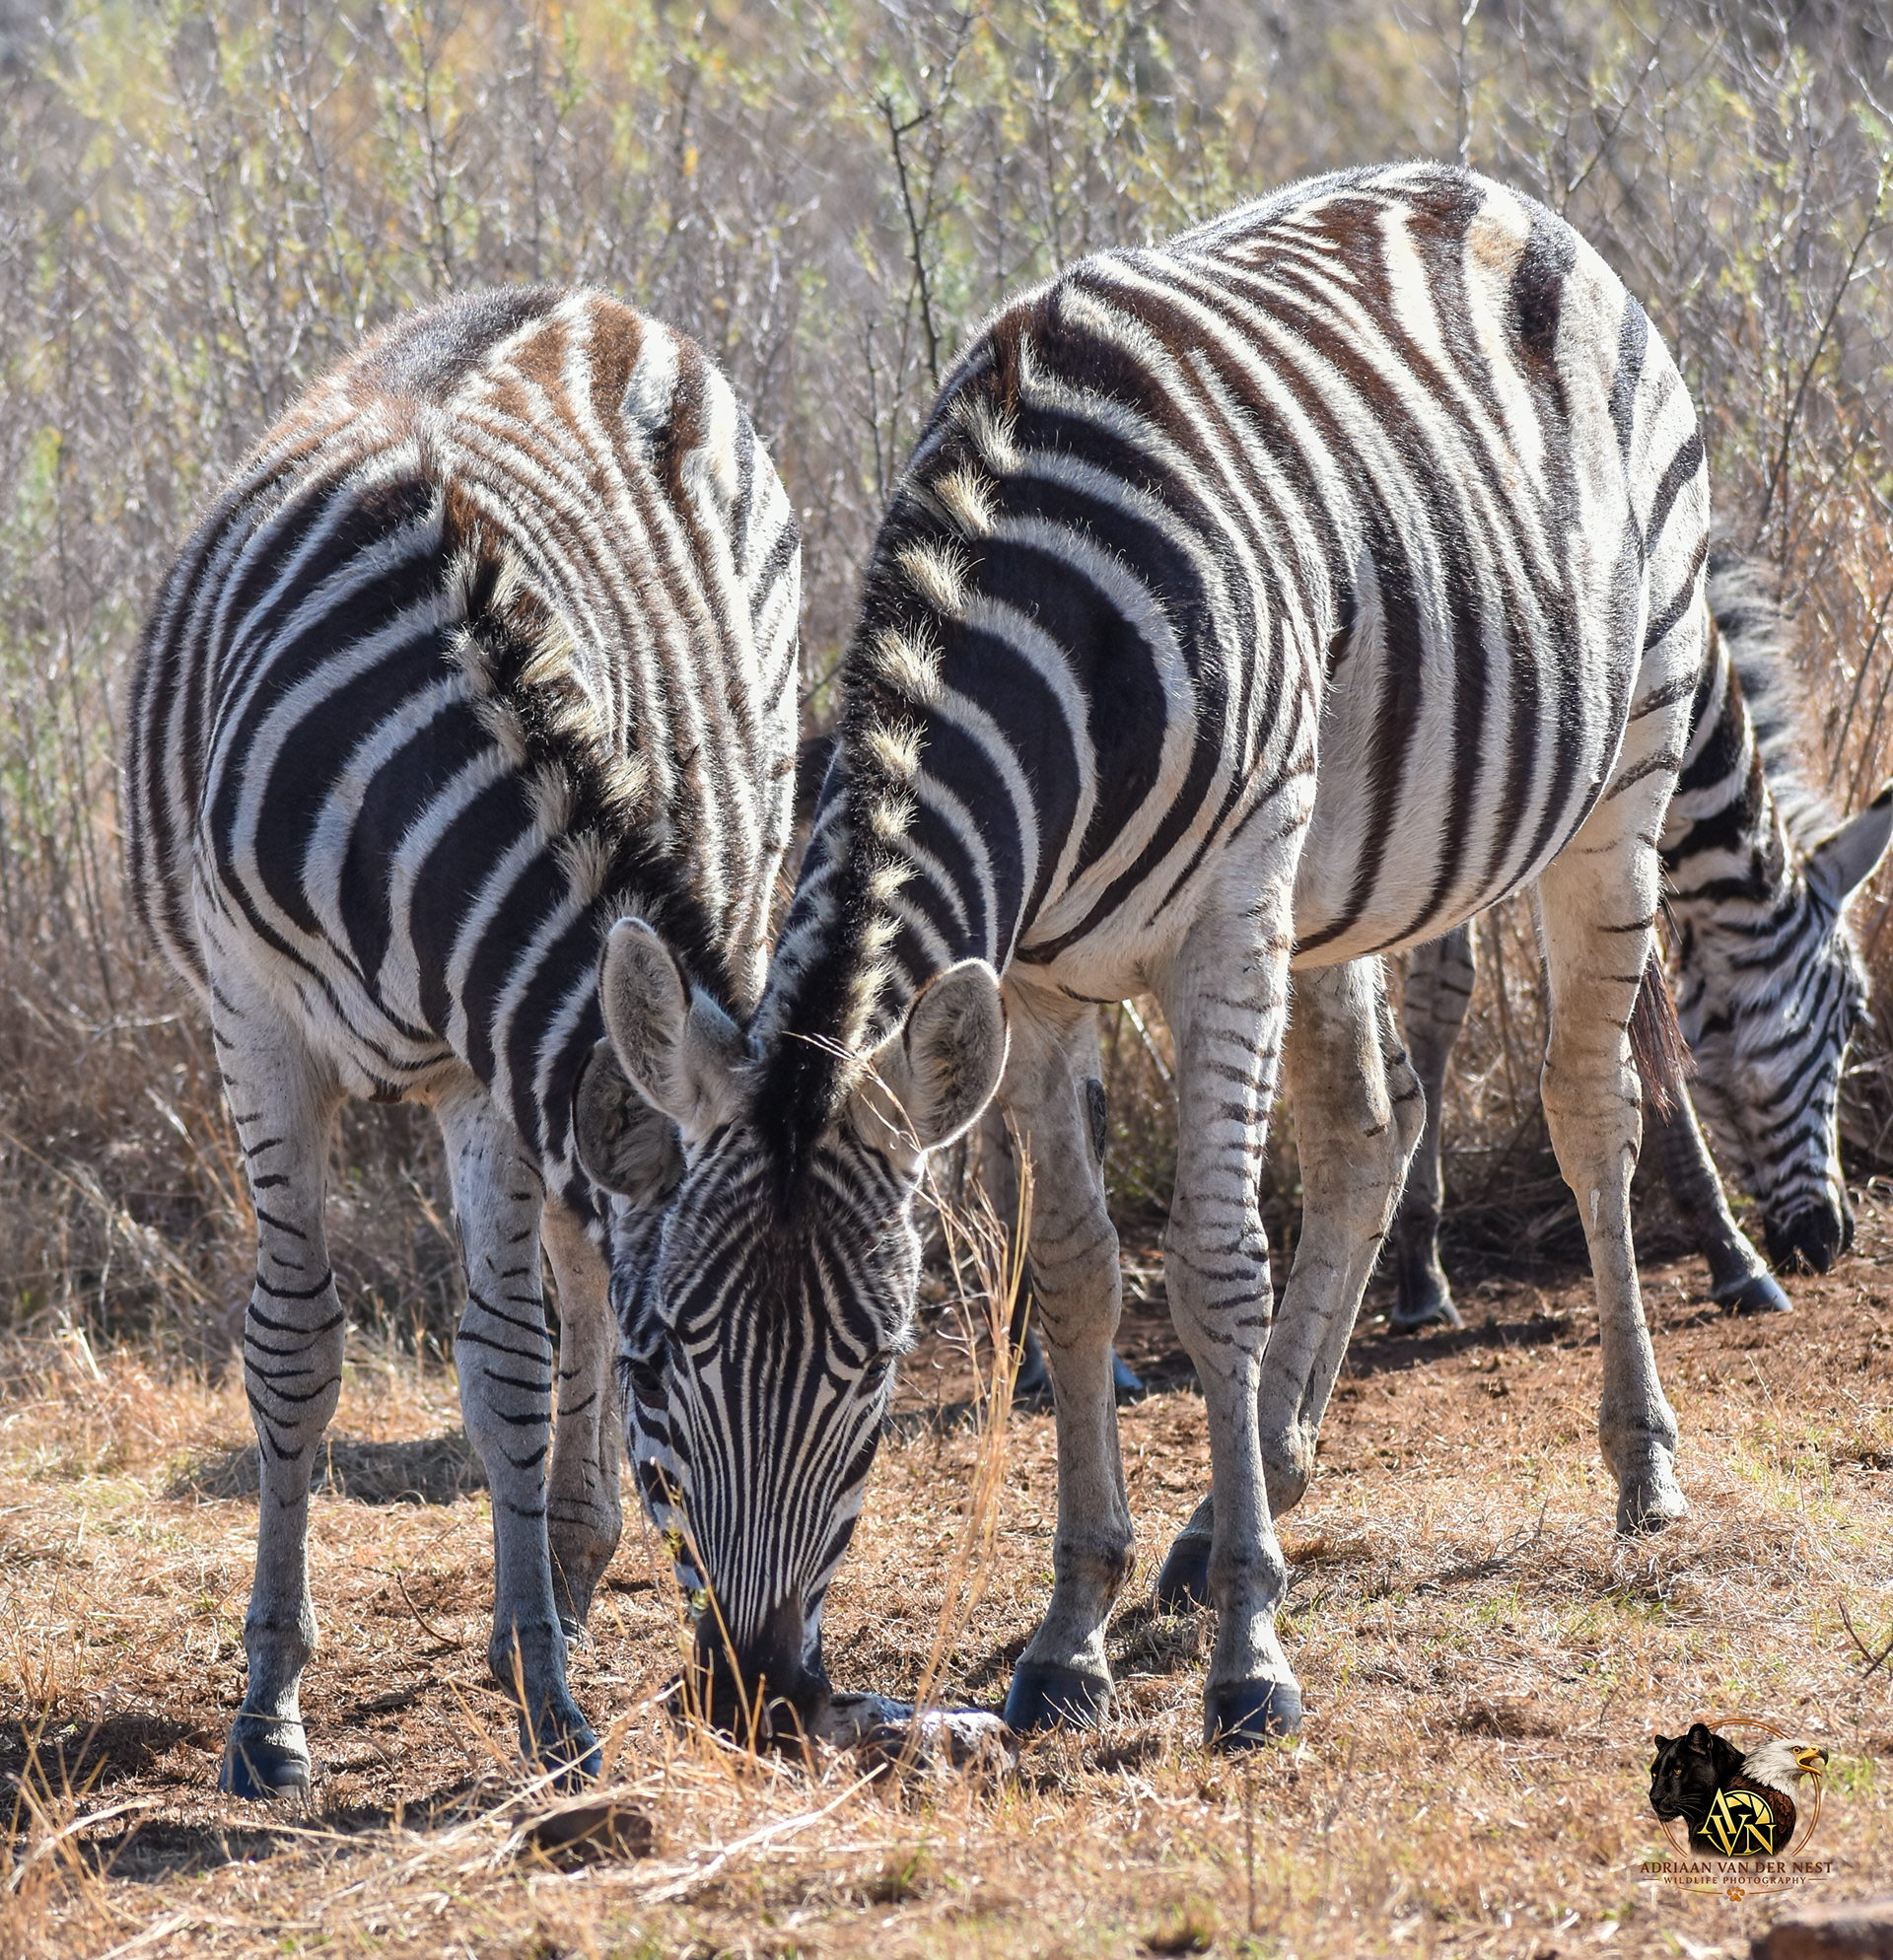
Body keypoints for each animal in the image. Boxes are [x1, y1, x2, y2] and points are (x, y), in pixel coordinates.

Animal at [125, 287, 799, 1796]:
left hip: (751, 826)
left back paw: (560, 1572)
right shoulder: (255, 1021)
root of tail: (587, 295)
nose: (766, 1695)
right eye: (670, 1369)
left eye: (884, 1363)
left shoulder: (482, 1055)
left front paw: (552, 1698)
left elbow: (505, 1364)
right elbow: (293, 1349)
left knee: (571, 1261)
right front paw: (268, 1709)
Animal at [574, 161, 1763, 1751]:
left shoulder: (1225, 913)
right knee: (1369, 1130)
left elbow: (1213, 1268)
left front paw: (1252, 1659)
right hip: (1345, 881)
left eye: (876, 1370)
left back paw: (1638, 1466)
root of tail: (1493, 191)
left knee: (1588, 1111)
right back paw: (1245, 1492)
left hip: (1617, 776)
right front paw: (1074, 1630)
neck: (1051, 638)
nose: (756, 1694)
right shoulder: (1027, 982)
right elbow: (1078, 1274)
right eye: (652, 1355)